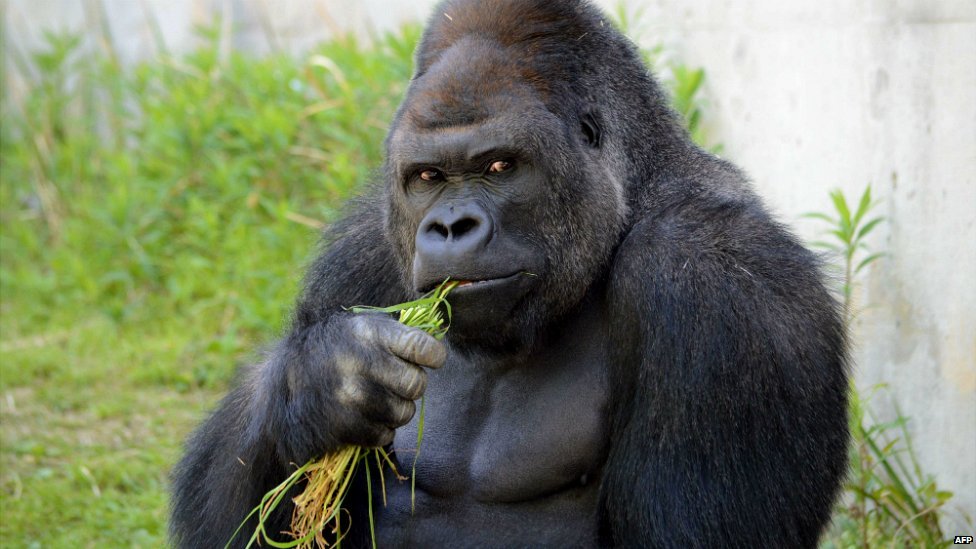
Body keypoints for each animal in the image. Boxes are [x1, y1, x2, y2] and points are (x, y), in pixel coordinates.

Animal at [172, 1, 852, 548]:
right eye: (427, 176)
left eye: (499, 166)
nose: (450, 227)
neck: (631, 197)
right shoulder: (363, 249)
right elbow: (234, 529)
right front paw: (322, 383)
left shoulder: (718, 286)